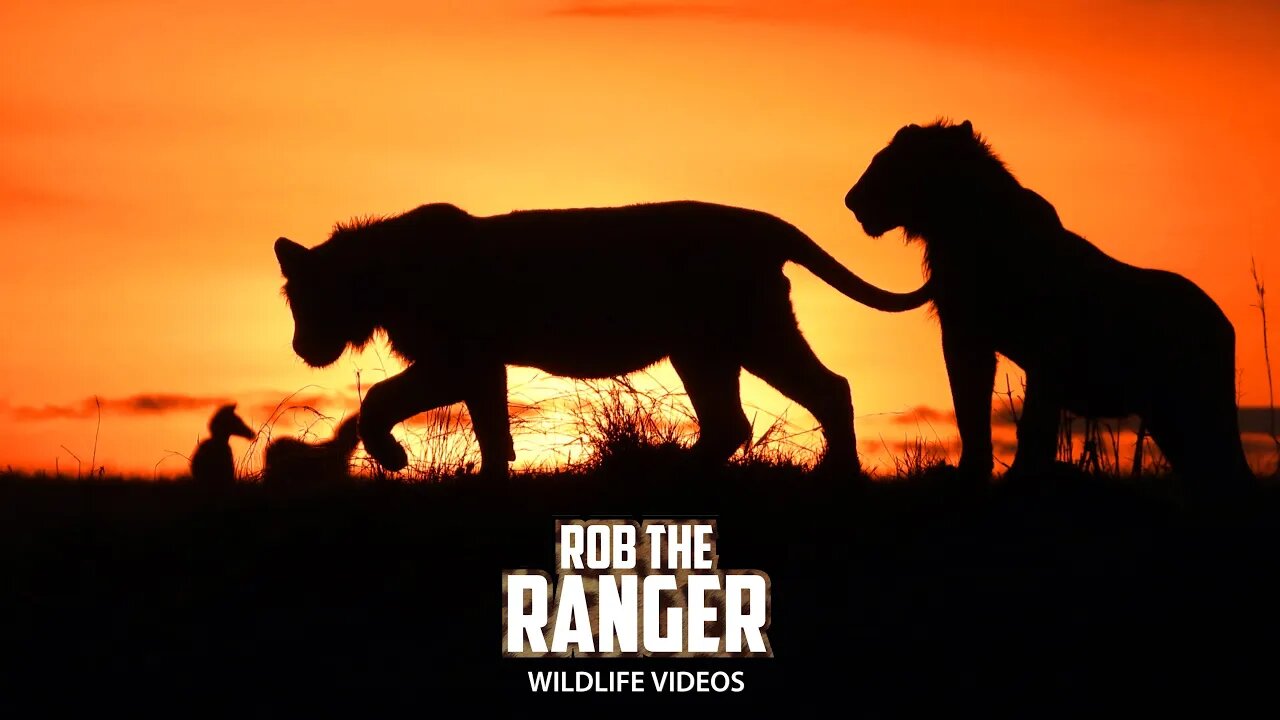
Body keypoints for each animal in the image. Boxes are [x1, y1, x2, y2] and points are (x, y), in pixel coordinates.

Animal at [275, 198, 926, 476]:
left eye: (304, 301)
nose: (300, 349)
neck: (383, 278)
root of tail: (764, 224)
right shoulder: (481, 366)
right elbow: (491, 429)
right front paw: (493, 480)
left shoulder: (456, 358)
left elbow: (377, 401)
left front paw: (392, 457)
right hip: (703, 348)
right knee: (731, 424)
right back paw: (673, 473)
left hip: (751, 331)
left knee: (829, 388)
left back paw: (836, 473)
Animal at [844, 119, 1254, 486]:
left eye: (889, 162)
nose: (851, 200)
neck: (961, 226)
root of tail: (1224, 324)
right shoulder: (966, 335)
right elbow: (971, 408)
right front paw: (972, 473)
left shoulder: (1044, 349)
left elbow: (1031, 422)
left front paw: (1020, 477)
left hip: (1196, 404)